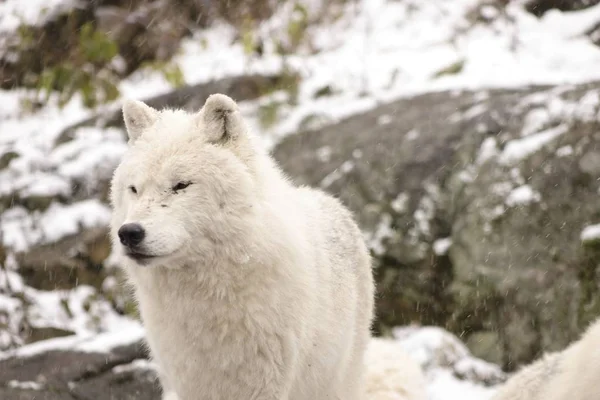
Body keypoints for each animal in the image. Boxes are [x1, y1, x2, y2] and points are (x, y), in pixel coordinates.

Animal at [109, 92, 376, 398]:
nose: (129, 233)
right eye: (134, 189)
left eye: (181, 185)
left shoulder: (265, 384)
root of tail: (336, 204)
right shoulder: (192, 382)